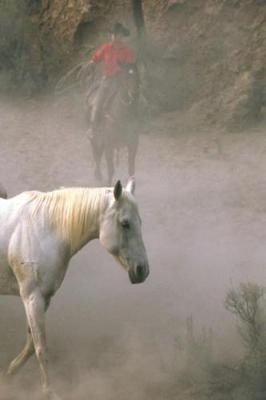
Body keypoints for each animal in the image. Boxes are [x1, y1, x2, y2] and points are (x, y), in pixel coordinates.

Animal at [0, 180, 149, 398]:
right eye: (125, 223)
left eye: (139, 222)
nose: (142, 270)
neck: (42, 230)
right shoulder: (32, 297)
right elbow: (40, 347)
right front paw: (48, 392)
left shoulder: (42, 298)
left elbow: (31, 344)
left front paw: (10, 373)